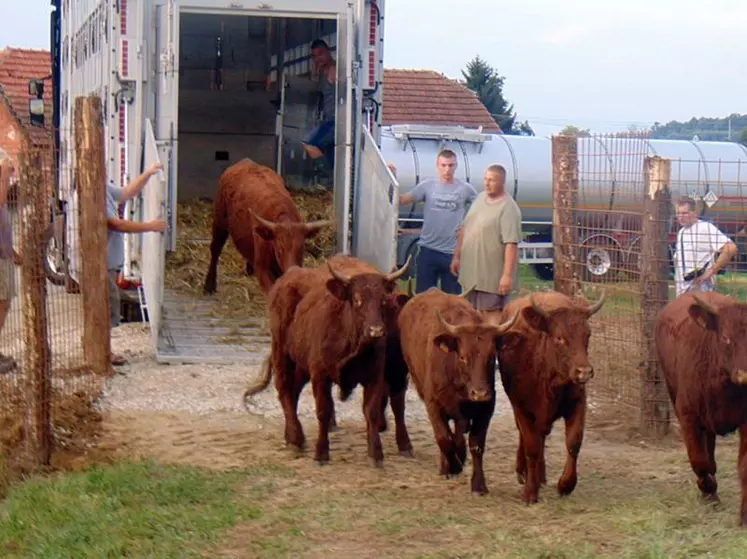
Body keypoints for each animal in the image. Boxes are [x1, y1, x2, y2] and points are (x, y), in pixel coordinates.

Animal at [203, 158, 334, 296]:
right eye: (279, 250)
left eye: (301, 249)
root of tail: (244, 161)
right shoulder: (262, 268)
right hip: (219, 222)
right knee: (215, 249)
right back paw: (209, 285)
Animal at [245, 256, 412, 466]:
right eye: (357, 299)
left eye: (383, 300)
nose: (376, 330)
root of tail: (290, 274)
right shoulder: (320, 375)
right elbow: (323, 412)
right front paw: (321, 453)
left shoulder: (377, 375)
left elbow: (373, 411)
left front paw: (376, 454)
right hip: (281, 351)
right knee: (284, 389)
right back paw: (295, 438)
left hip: (301, 364)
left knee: (293, 391)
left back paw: (292, 434)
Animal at [400, 288, 516, 494]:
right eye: (462, 357)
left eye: (491, 356)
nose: (480, 393)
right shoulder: (433, 404)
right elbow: (444, 439)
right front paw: (453, 466)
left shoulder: (486, 408)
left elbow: (475, 444)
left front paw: (479, 484)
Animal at [496, 290, 608, 506]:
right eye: (559, 338)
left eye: (587, 335)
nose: (584, 371)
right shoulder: (520, 407)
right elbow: (531, 446)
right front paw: (530, 491)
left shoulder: (578, 403)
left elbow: (573, 442)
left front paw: (566, 484)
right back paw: (524, 472)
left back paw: (541, 475)